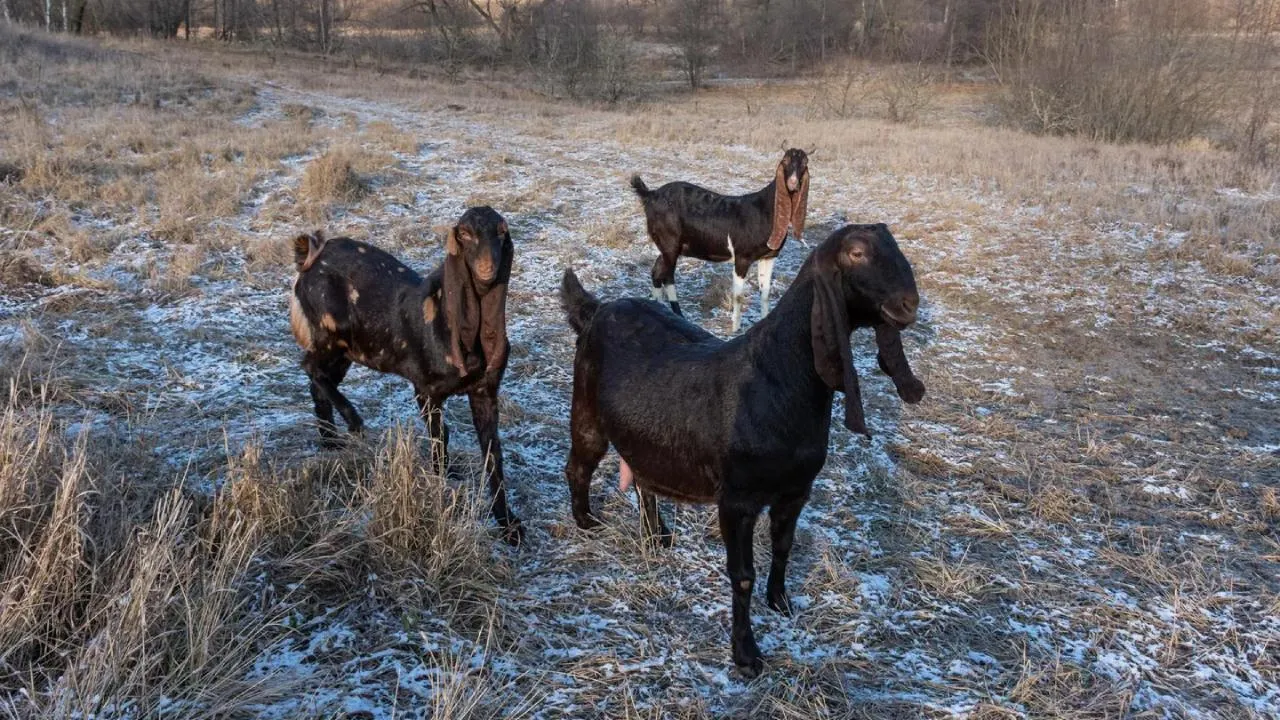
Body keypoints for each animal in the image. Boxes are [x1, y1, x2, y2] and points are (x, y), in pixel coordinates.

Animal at [290, 204, 524, 540]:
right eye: (465, 233)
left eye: (502, 232)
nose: (487, 267)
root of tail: (309, 257)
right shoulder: (425, 389)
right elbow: (440, 439)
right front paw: (441, 490)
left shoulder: (485, 391)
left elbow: (493, 454)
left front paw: (508, 524)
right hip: (330, 331)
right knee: (310, 367)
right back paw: (353, 422)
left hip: (350, 349)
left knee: (318, 380)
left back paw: (330, 442)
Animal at [558, 222, 921, 671]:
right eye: (856, 253)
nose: (909, 304)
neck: (778, 376)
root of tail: (596, 308)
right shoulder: (737, 500)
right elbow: (742, 574)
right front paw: (746, 654)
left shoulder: (796, 490)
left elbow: (783, 547)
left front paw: (780, 601)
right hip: (586, 409)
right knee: (578, 465)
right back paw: (586, 521)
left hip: (646, 432)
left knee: (642, 477)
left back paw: (658, 535)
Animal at [629, 149, 808, 333]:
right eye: (785, 161)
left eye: (805, 162)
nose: (793, 183)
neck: (764, 210)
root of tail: (651, 194)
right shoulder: (742, 257)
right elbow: (738, 295)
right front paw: (735, 329)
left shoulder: (770, 256)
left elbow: (765, 292)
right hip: (669, 242)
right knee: (667, 275)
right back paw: (678, 315)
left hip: (670, 246)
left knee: (657, 271)